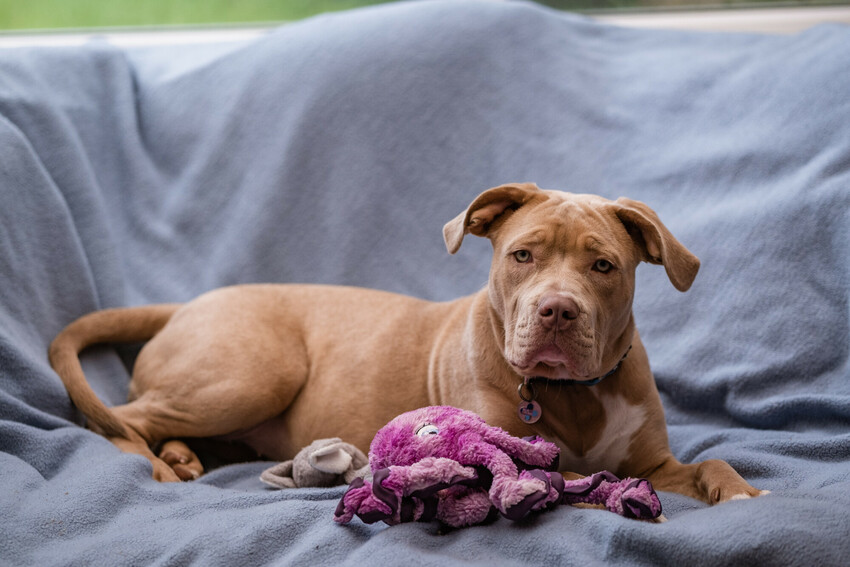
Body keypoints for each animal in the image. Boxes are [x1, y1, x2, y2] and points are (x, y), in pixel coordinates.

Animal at [48, 183, 760, 506]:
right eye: (522, 255)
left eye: (603, 266)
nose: (557, 311)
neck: (570, 393)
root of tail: (190, 303)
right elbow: (567, 474)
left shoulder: (657, 461)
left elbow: (710, 463)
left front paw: (742, 493)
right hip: (248, 375)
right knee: (122, 416)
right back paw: (149, 461)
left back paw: (182, 455)